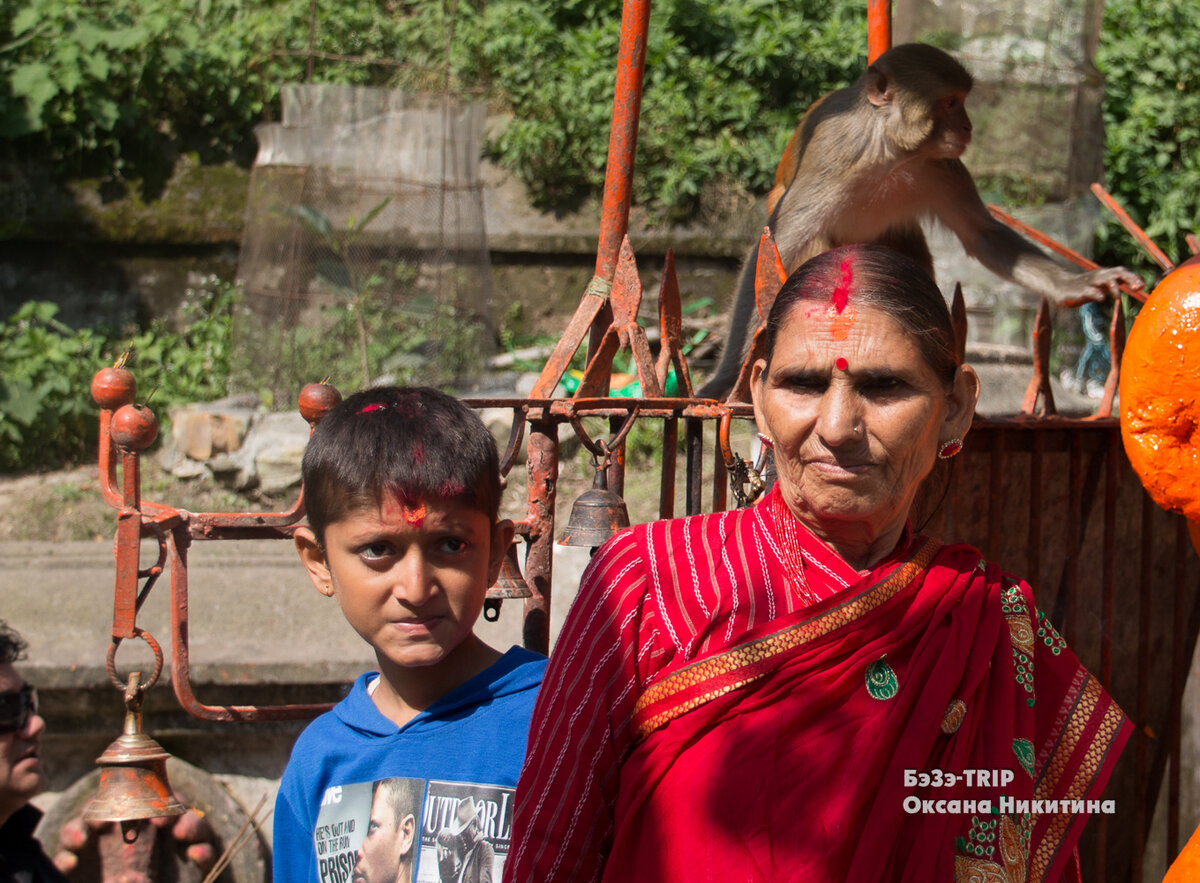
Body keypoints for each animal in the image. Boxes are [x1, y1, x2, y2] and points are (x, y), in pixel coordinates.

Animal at [700, 43, 1142, 398]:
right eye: (950, 102)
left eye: (963, 100)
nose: (968, 126)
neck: (889, 151)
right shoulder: (833, 153)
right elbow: (777, 242)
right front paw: (723, 380)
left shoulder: (943, 165)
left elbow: (983, 235)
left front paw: (1076, 284)